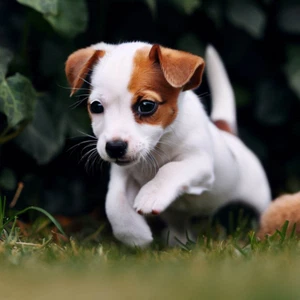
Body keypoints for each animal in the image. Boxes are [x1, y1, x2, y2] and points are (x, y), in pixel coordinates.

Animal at [65, 41, 272, 248]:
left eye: (146, 105)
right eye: (96, 106)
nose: (114, 147)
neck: (158, 148)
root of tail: (228, 132)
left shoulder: (200, 163)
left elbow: (170, 169)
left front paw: (151, 194)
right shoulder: (123, 174)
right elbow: (115, 202)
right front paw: (134, 235)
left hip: (258, 195)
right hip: (175, 215)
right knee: (179, 226)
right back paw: (178, 242)